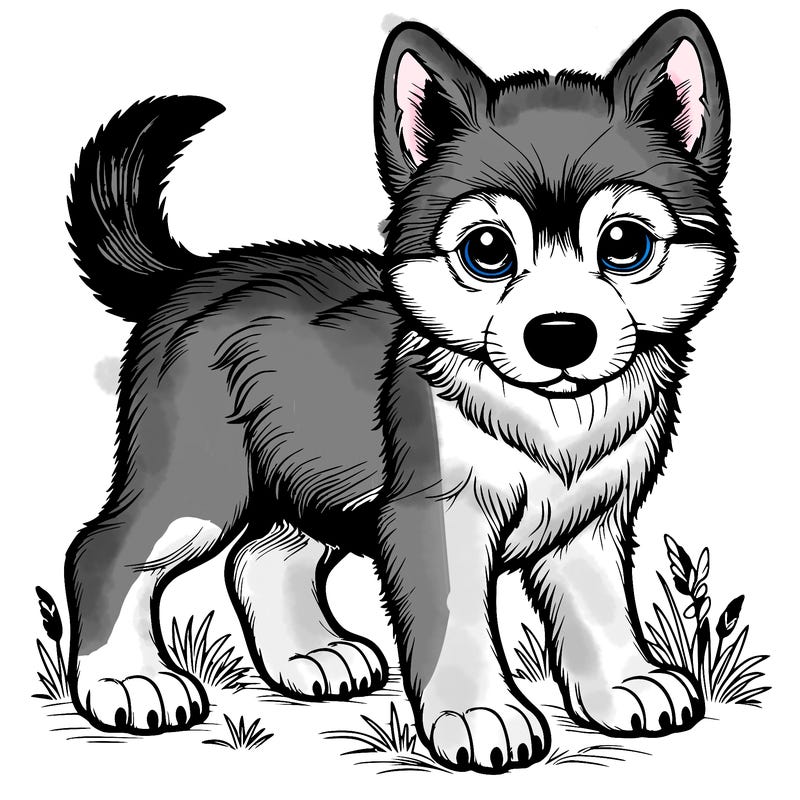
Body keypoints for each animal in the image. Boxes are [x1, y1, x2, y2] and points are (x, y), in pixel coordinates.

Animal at [64, 10, 733, 772]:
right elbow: (455, 622)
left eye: (624, 243)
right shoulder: (432, 516)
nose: (560, 335)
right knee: (106, 550)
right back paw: (127, 679)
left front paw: (624, 686)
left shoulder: (590, 523)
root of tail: (192, 275)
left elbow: (600, 612)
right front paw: (478, 714)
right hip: (202, 484)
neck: (549, 418)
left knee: (258, 560)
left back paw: (311, 656)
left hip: (310, 482)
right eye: (487, 250)